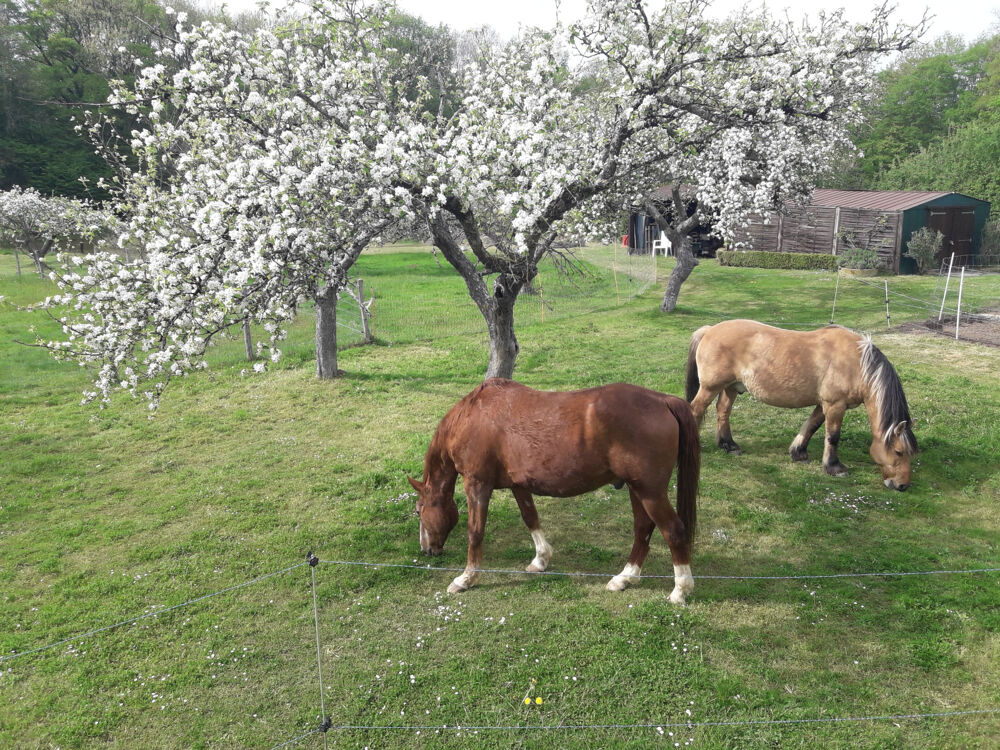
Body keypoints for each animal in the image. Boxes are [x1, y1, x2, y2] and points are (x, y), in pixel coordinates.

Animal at [407, 378, 701, 603]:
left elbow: (475, 532)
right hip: (637, 489)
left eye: (419, 511)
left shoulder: (477, 484)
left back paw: (680, 590)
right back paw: (624, 578)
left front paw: (466, 578)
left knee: (673, 531)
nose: (426, 550)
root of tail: (663, 400)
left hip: (650, 492)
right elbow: (531, 518)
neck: (473, 416)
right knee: (643, 529)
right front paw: (541, 560)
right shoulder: (518, 485)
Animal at [685, 320, 917, 490]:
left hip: (731, 387)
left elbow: (811, 426)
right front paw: (834, 467)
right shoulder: (835, 405)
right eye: (898, 452)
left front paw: (798, 452)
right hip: (710, 387)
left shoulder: (823, 405)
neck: (857, 363)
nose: (902, 485)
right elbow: (832, 436)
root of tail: (709, 330)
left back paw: (729, 445)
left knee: (723, 411)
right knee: (695, 410)